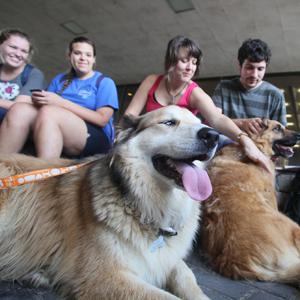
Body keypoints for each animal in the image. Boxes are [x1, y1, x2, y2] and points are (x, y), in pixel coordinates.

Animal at [0, 106, 217, 300]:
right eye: (169, 122)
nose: (214, 136)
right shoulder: (103, 277)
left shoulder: (166, 260)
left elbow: (187, 276)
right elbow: (166, 297)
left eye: (200, 123)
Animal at [200, 118, 300, 282]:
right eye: (277, 128)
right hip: (294, 227)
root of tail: (234, 260)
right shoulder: (271, 197)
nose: (299, 135)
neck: (256, 144)